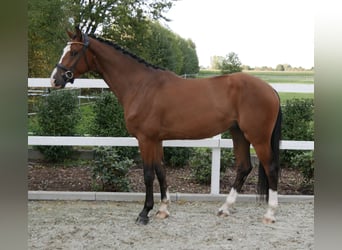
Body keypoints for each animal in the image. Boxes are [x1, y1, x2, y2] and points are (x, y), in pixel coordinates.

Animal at [50, 26, 280, 225]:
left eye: (74, 51)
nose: (55, 80)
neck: (141, 86)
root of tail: (270, 89)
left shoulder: (145, 139)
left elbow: (148, 174)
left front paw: (144, 213)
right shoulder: (157, 139)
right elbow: (161, 171)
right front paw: (163, 209)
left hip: (258, 137)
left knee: (270, 167)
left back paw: (269, 214)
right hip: (238, 133)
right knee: (244, 167)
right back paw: (225, 208)